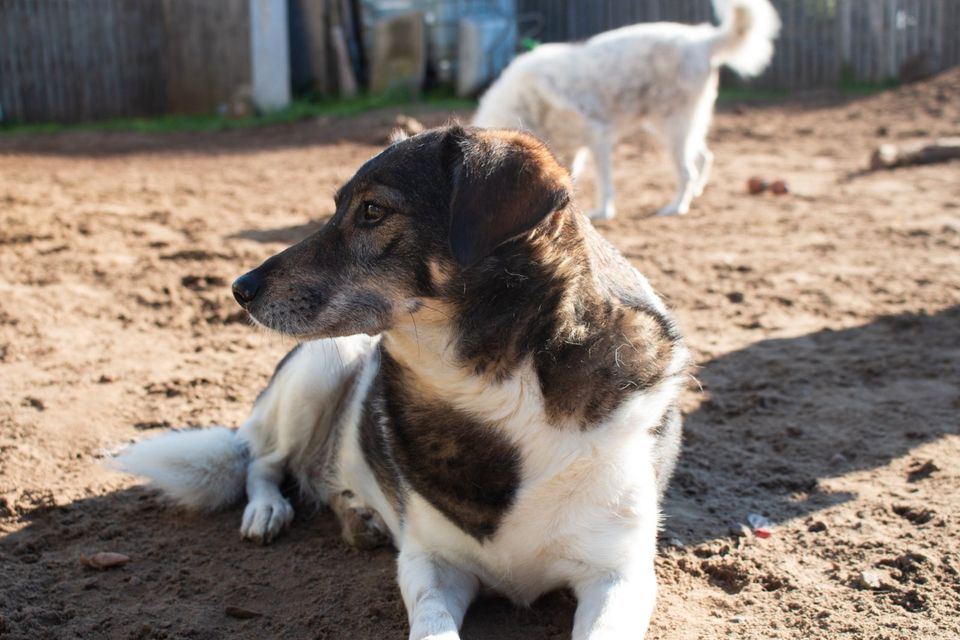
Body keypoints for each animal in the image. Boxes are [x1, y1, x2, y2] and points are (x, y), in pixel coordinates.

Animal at [116, 126, 688, 640]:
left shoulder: (619, 575)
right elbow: (433, 626)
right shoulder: (430, 563)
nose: (239, 289)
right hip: (320, 367)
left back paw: (357, 514)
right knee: (262, 461)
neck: (494, 387)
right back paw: (268, 509)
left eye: (372, 211)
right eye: (337, 208)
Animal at [472, 0, 780, 219]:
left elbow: (604, 183)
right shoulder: (569, 151)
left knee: (688, 170)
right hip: (676, 125)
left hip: (673, 127)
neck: (526, 104)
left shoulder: (597, 138)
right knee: (705, 156)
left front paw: (603, 213)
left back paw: (676, 207)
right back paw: (695, 194)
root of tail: (701, 40)